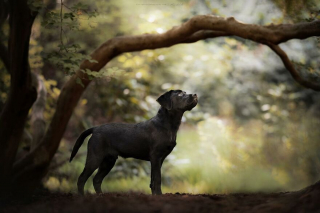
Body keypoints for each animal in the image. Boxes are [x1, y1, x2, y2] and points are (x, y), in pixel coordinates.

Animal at [70, 90, 198, 195]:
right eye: (180, 94)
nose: (195, 95)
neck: (167, 125)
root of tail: (95, 128)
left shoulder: (159, 159)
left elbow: (153, 180)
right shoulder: (156, 157)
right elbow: (158, 179)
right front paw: (159, 196)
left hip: (108, 160)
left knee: (96, 179)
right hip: (95, 157)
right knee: (82, 178)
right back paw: (82, 197)